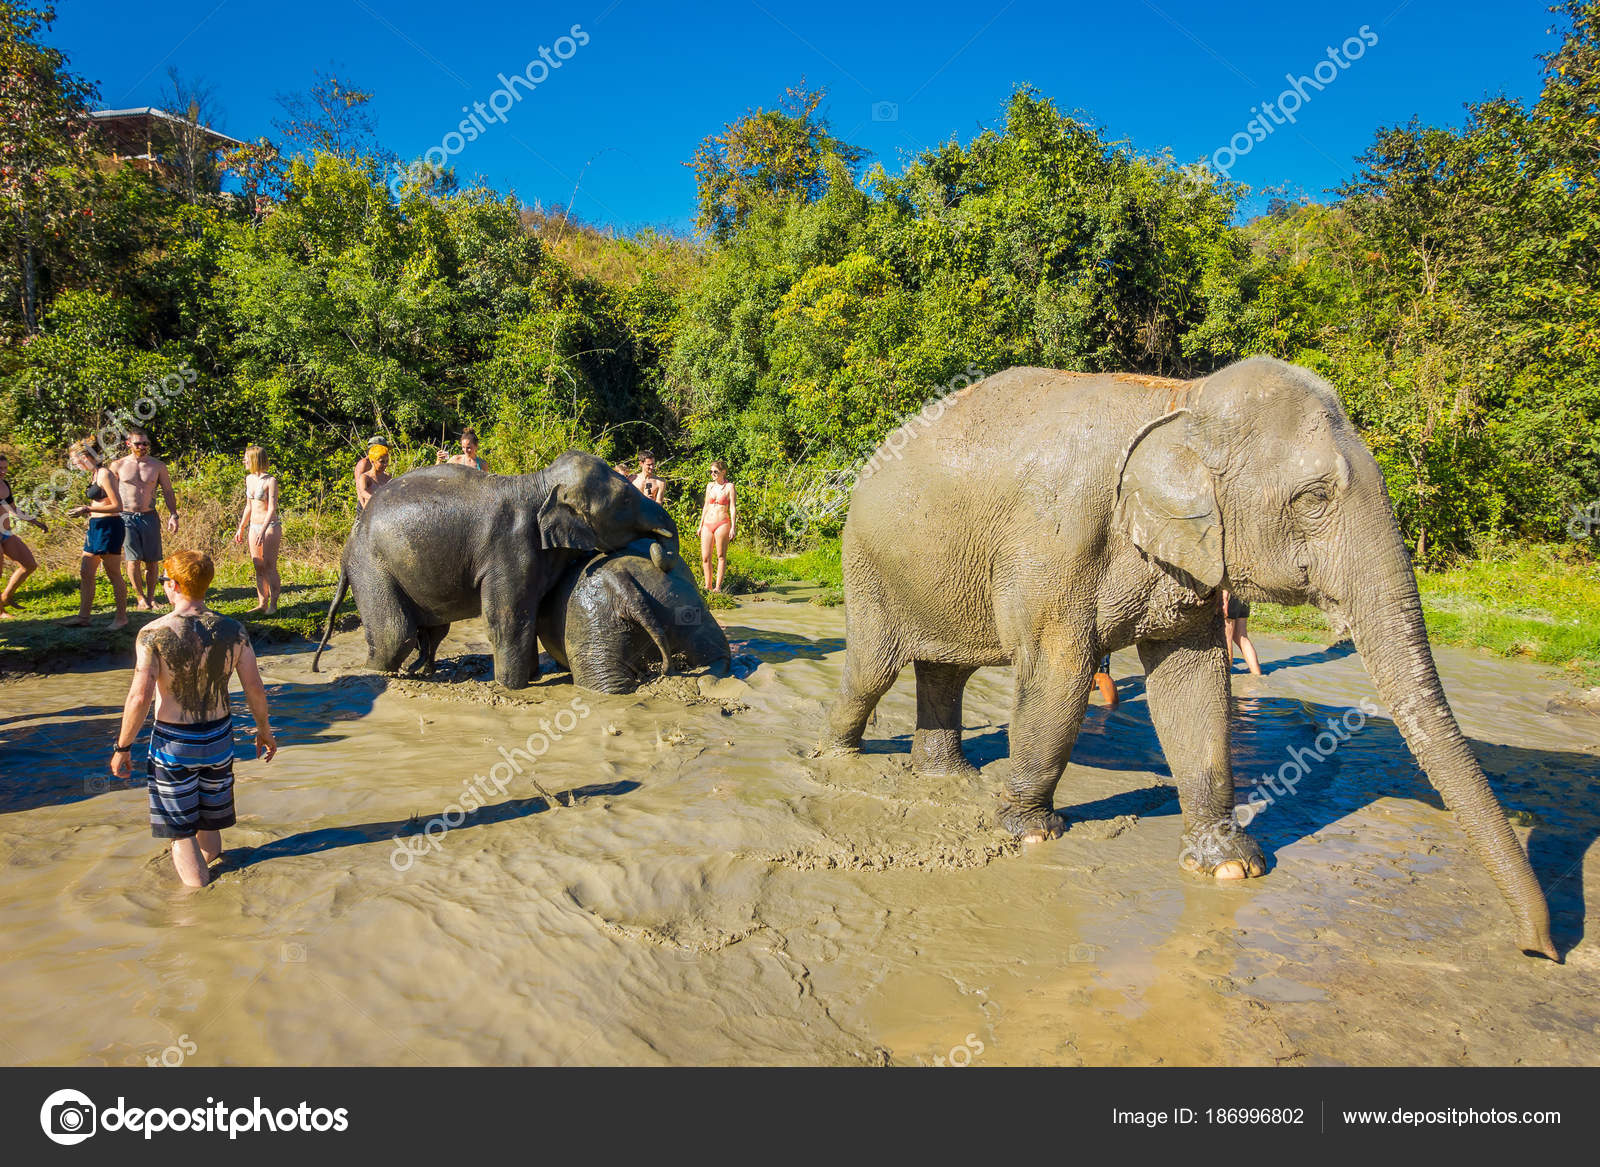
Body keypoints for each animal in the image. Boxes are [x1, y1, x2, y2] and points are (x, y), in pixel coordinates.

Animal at [312, 445, 675, 688]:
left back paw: (421, 671)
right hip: (372, 568)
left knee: (432, 630)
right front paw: (513, 688)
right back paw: (380, 676)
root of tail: (348, 546)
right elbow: (508, 620)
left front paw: (531, 676)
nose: (657, 546)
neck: (538, 484)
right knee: (394, 634)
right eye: (625, 500)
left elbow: (534, 614)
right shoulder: (509, 547)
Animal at [825, 355, 1561, 954]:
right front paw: (1030, 833)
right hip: (866, 561)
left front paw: (1230, 866)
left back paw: (947, 776)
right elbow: (1059, 675)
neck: (1182, 399)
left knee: (945, 671)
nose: (1539, 948)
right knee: (872, 670)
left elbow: (1192, 686)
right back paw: (840, 760)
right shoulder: (1056, 541)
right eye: (1314, 498)